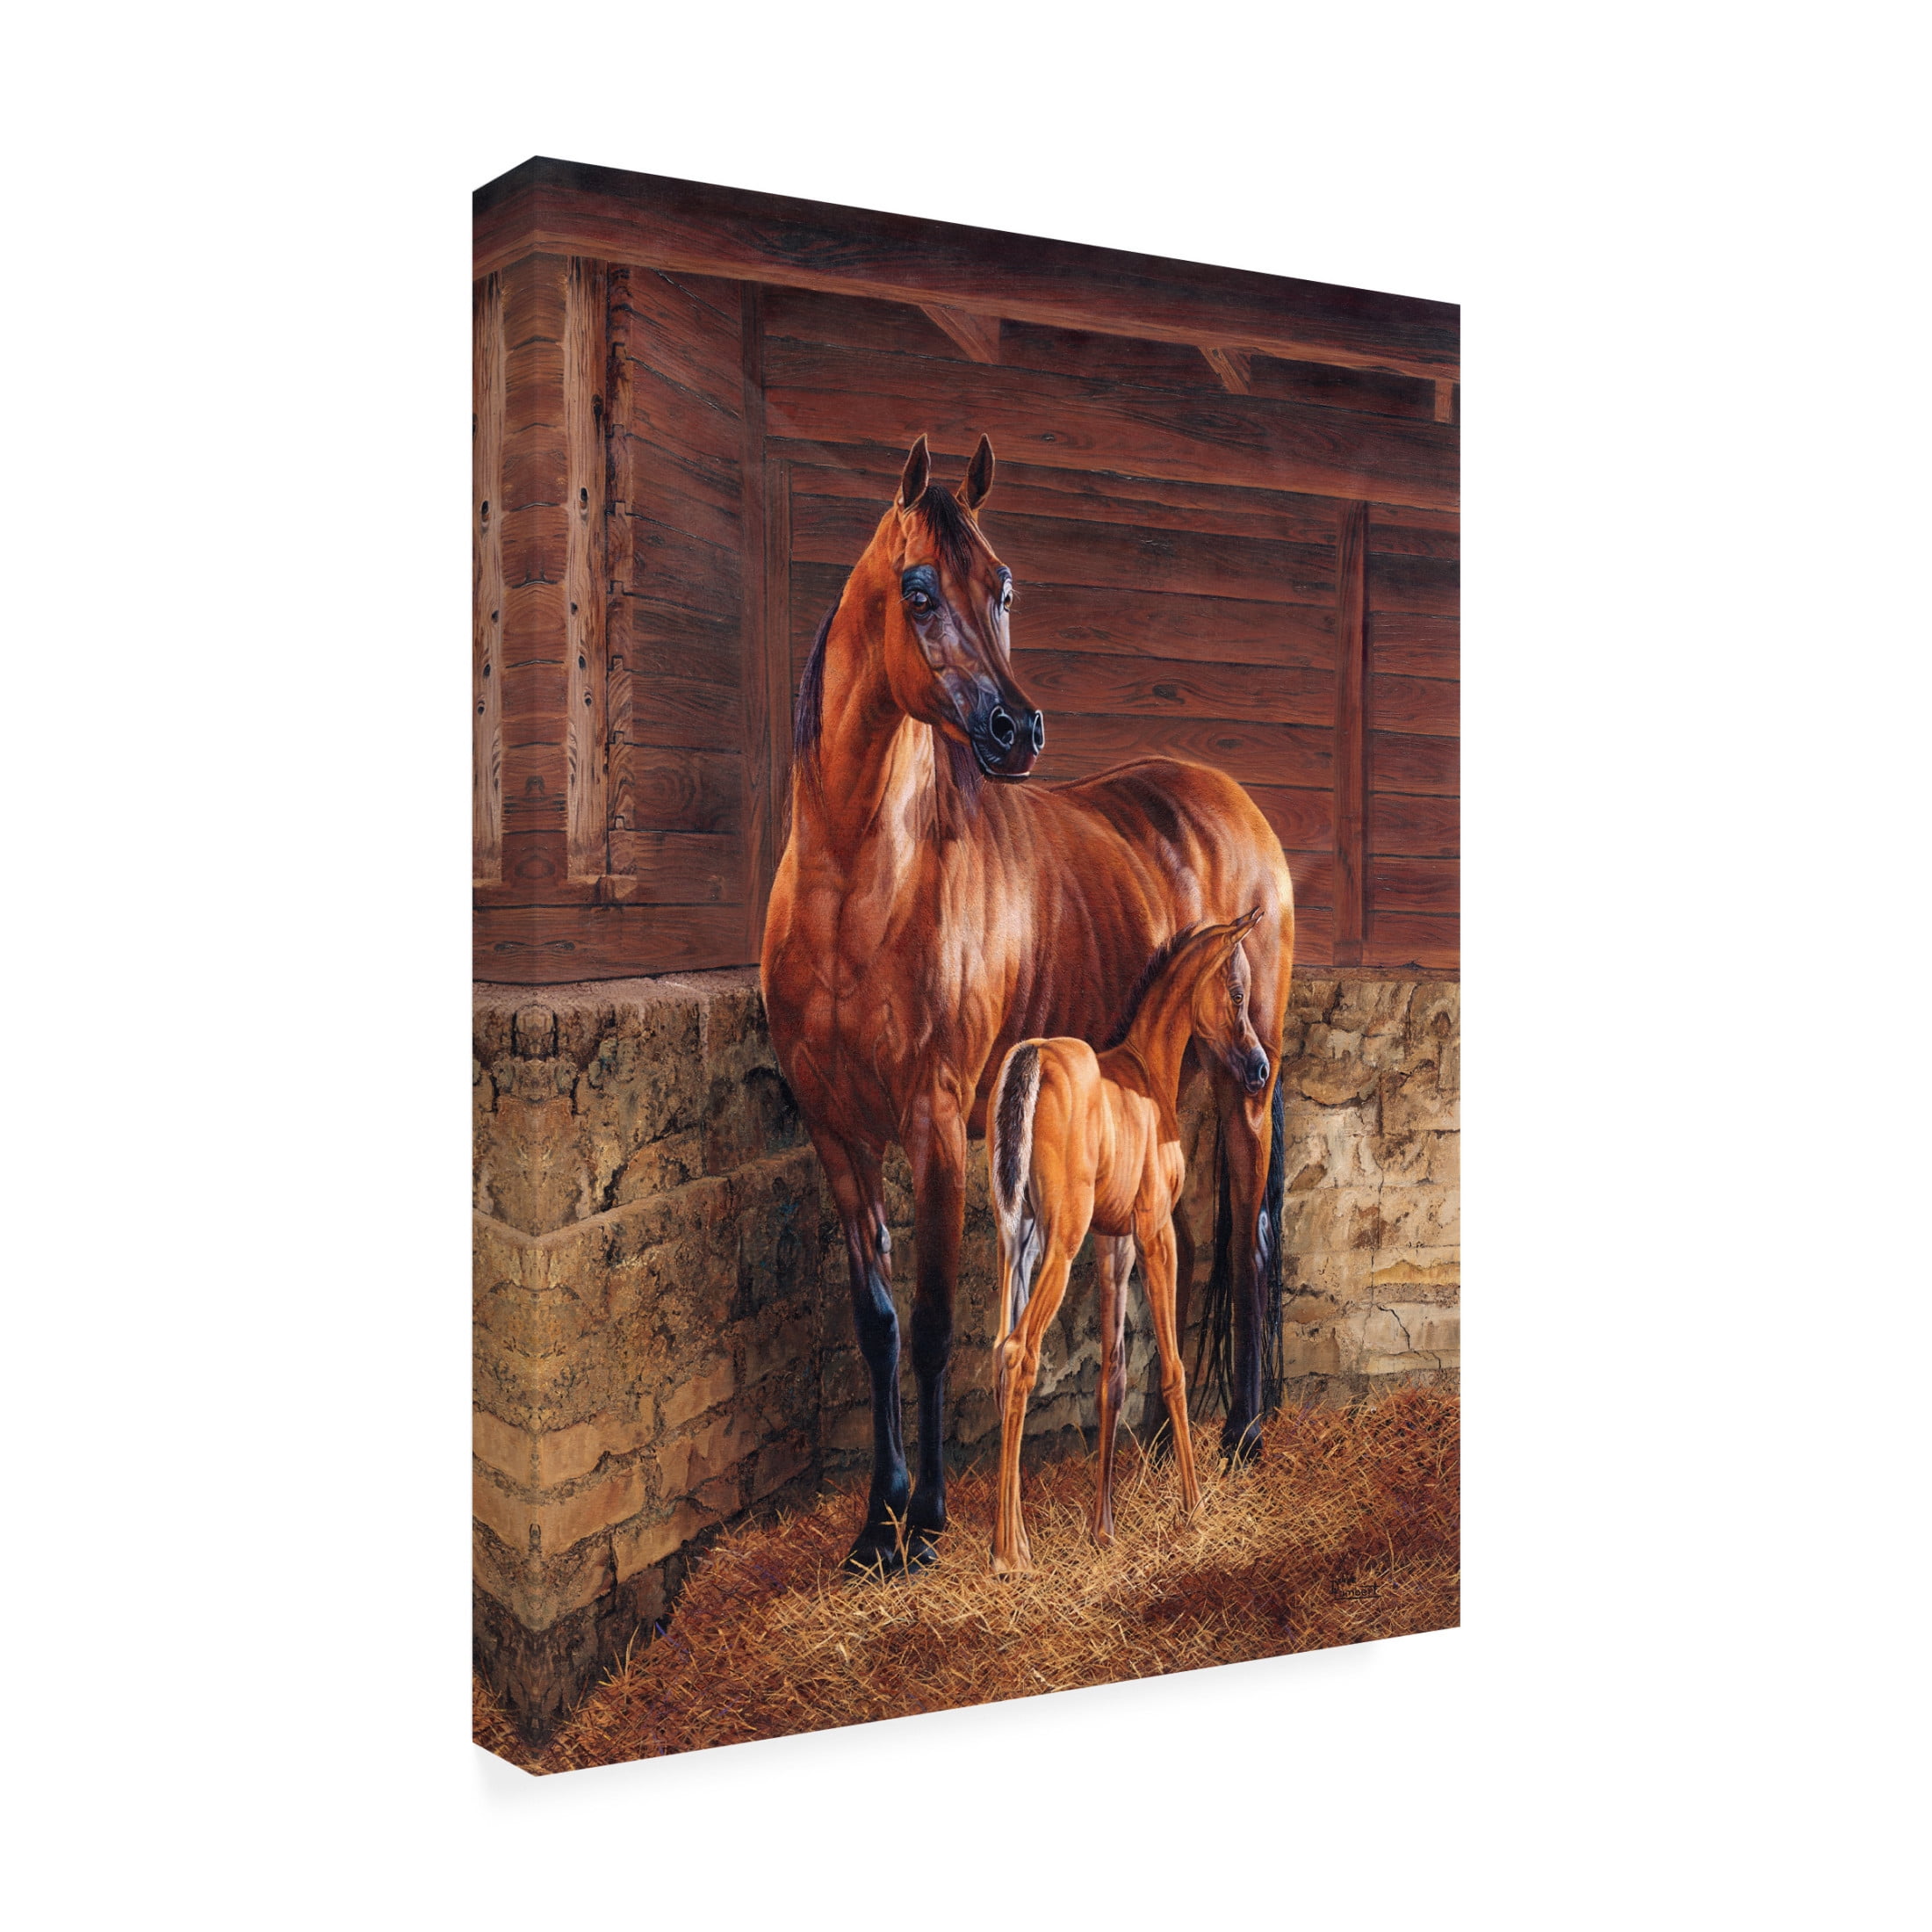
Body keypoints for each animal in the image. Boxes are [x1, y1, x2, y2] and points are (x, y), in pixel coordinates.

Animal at [986, 909, 1271, 1574]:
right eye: (1237, 992)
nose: (1258, 1068)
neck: (1147, 1068)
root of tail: (1032, 1056)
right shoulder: (1153, 1232)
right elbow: (1172, 1368)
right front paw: (1193, 1506)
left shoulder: (1111, 1246)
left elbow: (1111, 1377)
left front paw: (1103, 1529)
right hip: (1058, 1247)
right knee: (1020, 1353)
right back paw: (1013, 1554)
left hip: (1018, 1243)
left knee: (1000, 1350)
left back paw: (1005, 1541)